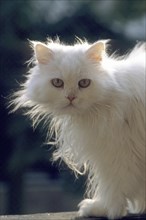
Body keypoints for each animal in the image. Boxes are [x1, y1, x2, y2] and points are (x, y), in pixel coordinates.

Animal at [10, 37, 145, 218]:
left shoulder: (119, 153)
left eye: (84, 83)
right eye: (58, 83)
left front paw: (102, 209)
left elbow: (112, 187)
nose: (71, 97)